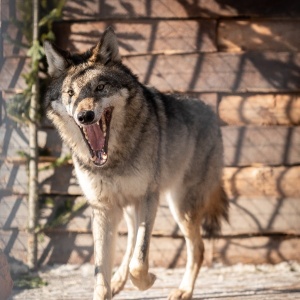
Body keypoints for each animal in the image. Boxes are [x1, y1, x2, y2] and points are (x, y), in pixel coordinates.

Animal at [43, 27, 229, 298]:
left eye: (100, 87)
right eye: (70, 94)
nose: (84, 116)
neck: (112, 160)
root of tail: (211, 113)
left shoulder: (148, 197)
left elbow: (140, 262)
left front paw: (148, 280)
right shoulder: (103, 207)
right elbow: (101, 271)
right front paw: (111, 285)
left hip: (181, 207)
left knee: (198, 248)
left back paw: (183, 290)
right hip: (133, 207)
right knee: (131, 238)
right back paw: (119, 281)